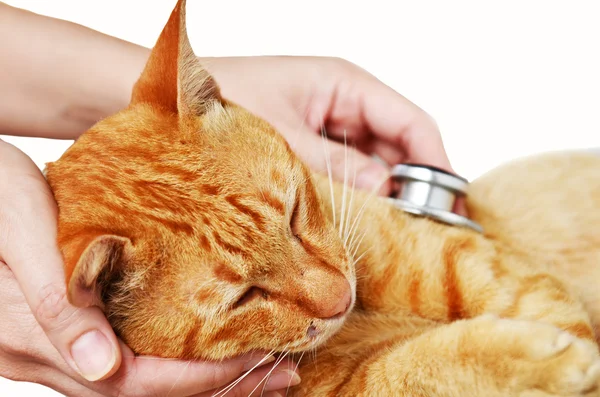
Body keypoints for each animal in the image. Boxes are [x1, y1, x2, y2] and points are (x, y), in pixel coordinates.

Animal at [44, 1, 600, 394]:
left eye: (293, 214)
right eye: (244, 297)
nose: (341, 298)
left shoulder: (473, 262)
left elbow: (549, 310)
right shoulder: (346, 385)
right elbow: (413, 368)